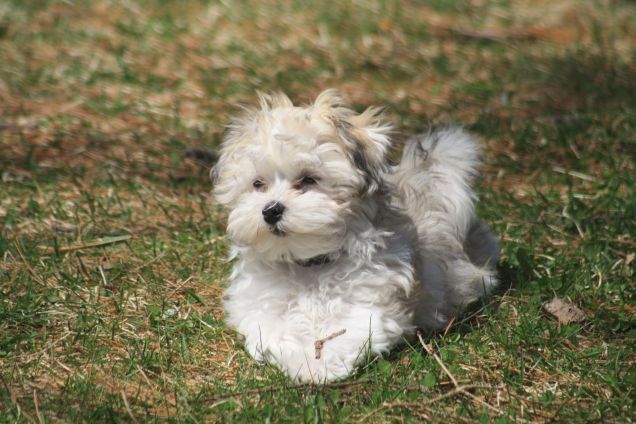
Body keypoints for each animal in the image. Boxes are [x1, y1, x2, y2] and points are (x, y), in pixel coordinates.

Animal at [211, 90, 500, 384]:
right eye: (258, 184)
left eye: (309, 179)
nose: (271, 210)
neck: (311, 264)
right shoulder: (259, 307)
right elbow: (275, 330)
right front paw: (301, 356)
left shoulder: (371, 303)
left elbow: (347, 330)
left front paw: (318, 364)